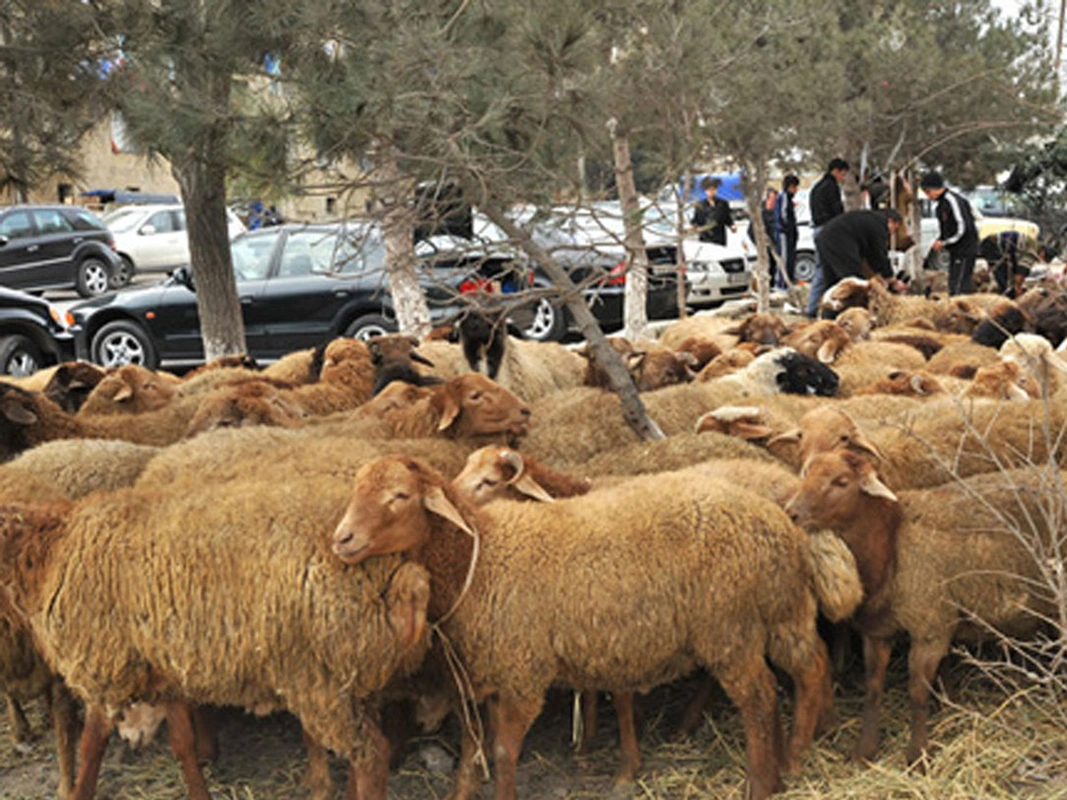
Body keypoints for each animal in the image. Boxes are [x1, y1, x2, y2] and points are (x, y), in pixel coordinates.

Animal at [0, 482, 435, 800]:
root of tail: (398, 571)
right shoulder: (165, 671)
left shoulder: (104, 667)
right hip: (354, 677)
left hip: (322, 683)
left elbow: (91, 748)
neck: (50, 551)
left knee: (372, 756)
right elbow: (183, 745)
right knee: (364, 753)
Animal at [785, 454, 1058, 768]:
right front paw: (864, 751)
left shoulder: (931, 628)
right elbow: (873, 687)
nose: (791, 512)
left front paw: (918, 755)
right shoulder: (877, 632)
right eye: (807, 474)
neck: (892, 544)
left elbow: (917, 693)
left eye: (841, 481)